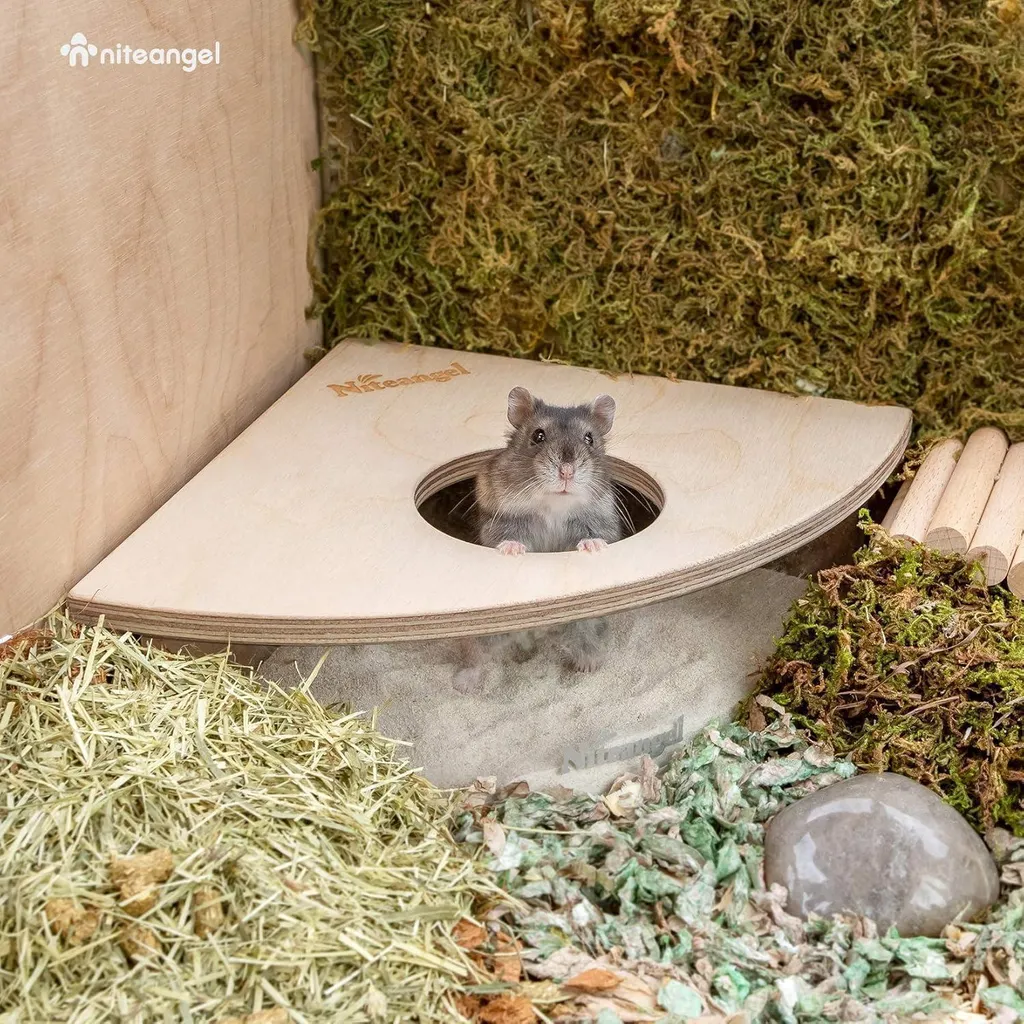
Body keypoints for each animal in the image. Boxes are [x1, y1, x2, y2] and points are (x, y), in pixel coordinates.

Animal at [451, 387, 623, 693]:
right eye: (538, 436)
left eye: (589, 439)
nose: (566, 471)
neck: (554, 505)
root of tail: (537, 630)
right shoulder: (500, 519)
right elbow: (506, 537)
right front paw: (512, 550)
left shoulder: (602, 520)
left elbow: (595, 535)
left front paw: (592, 546)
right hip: (482, 632)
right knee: (475, 657)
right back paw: (463, 685)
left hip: (590, 623)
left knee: (588, 644)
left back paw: (588, 667)